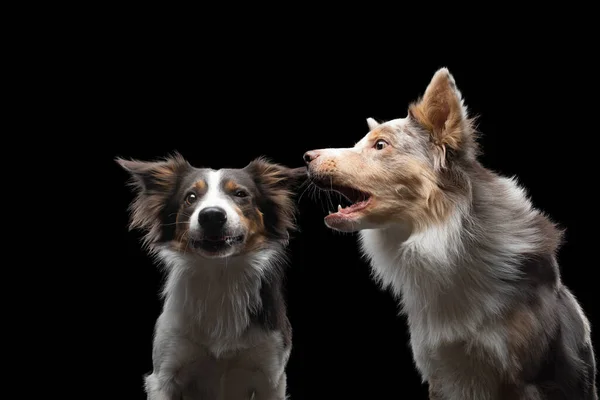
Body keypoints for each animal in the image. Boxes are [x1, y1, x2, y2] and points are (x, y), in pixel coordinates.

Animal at [117, 154, 304, 400]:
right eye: (191, 197)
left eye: (240, 194)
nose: (212, 216)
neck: (219, 274)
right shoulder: (164, 376)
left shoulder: (271, 376)